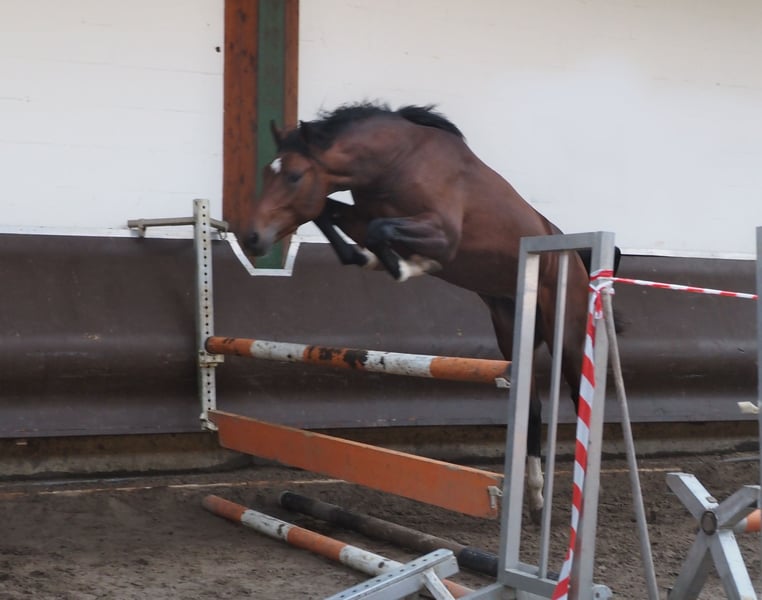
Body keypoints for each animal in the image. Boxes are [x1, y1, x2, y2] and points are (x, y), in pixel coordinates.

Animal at [238, 102, 616, 522]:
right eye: (267, 172)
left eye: (294, 175)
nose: (251, 237)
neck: (396, 162)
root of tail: (575, 259)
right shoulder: (361, 213)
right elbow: (331, 215)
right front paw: (370, 258)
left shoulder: (443, 233)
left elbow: (380, 230)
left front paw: (407, 265)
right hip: (510, 327)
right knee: (531, 408)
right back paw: (534, 499)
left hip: (567, 335)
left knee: (579, 396)